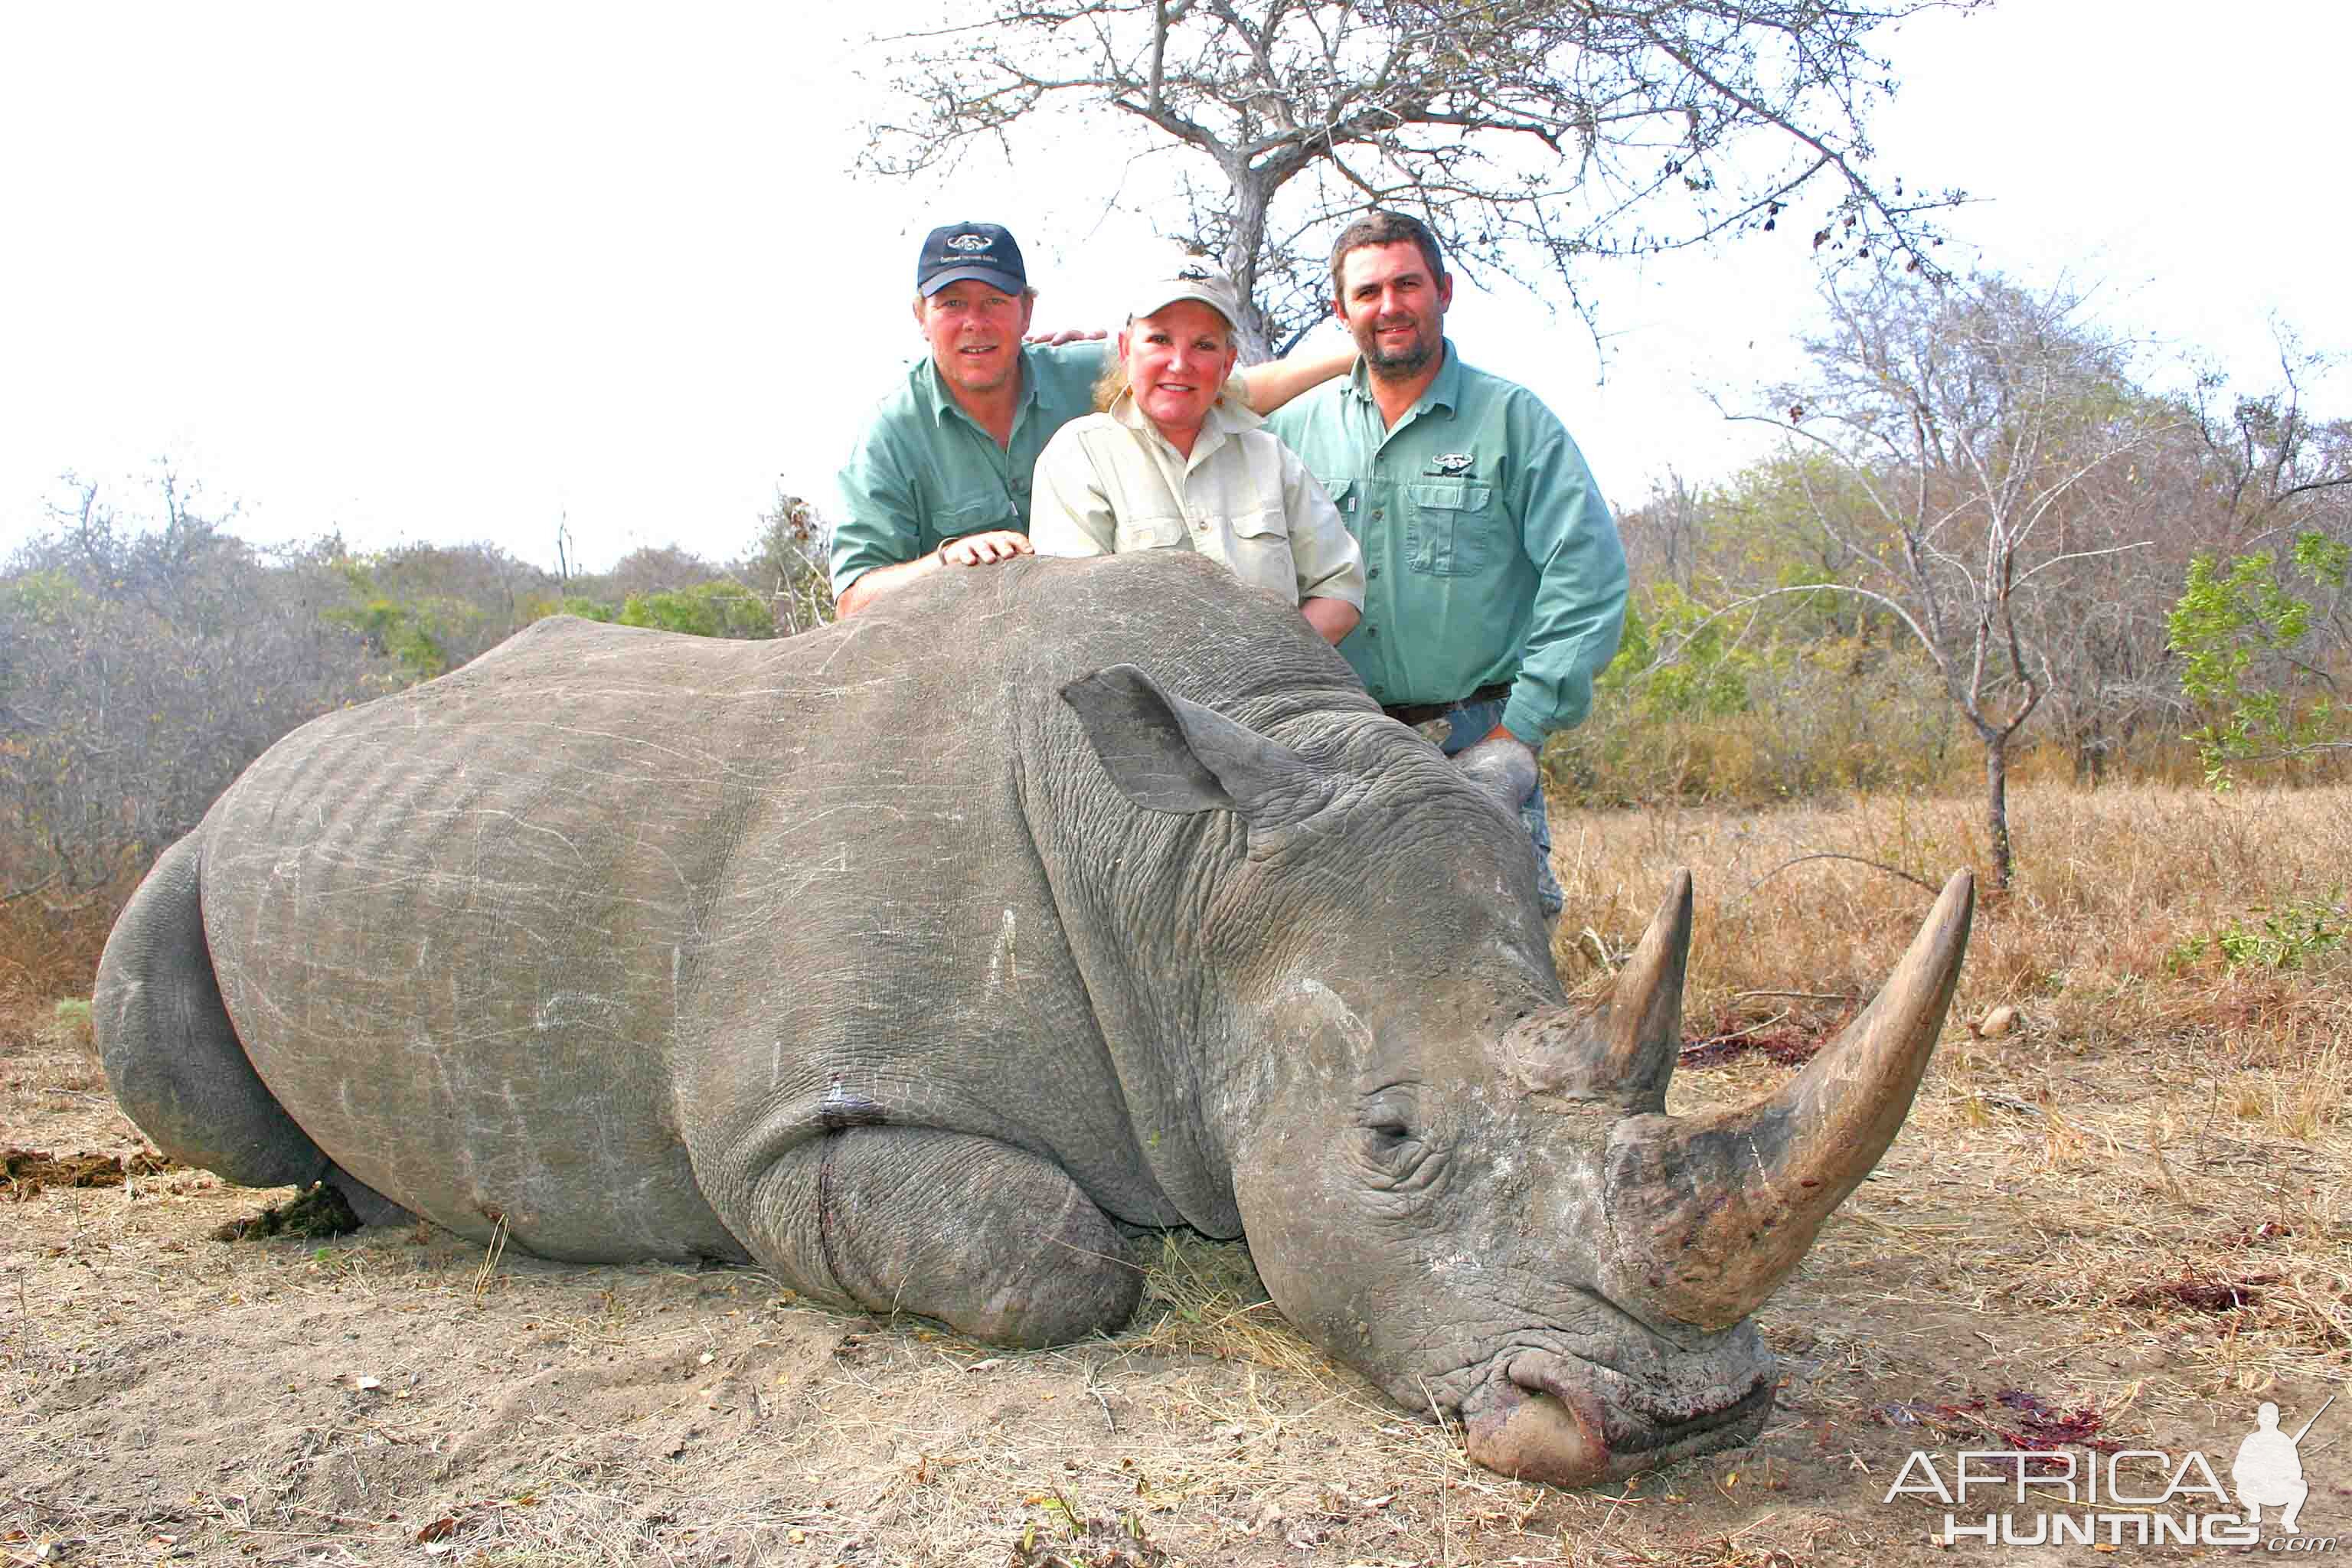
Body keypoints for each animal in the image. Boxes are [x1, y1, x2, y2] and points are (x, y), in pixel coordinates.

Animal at [91, 550, 1966, 1485]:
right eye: (1389, 1138)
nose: (1686, 1420)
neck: (1190, 873)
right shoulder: (786, 1129)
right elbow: (1051, 1254)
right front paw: (1121, 1264)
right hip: (195, 849)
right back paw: (315, 1212)